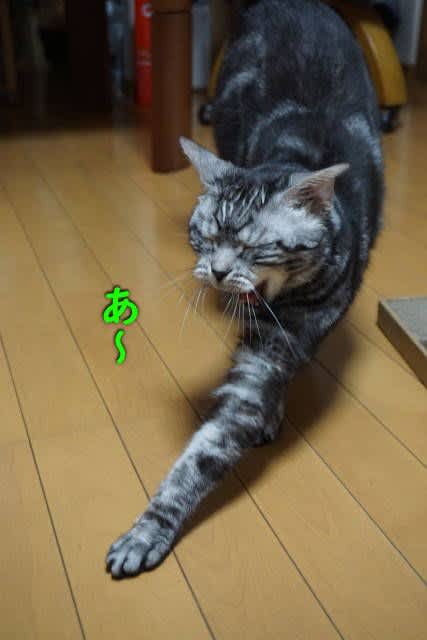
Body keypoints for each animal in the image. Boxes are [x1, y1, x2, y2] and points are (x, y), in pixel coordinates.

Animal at [106, 0, 383, 578]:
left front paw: (149, 531)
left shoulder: (283, 344)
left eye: (255, 248)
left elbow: (210, 447)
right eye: (206, 236)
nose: (215, 272)